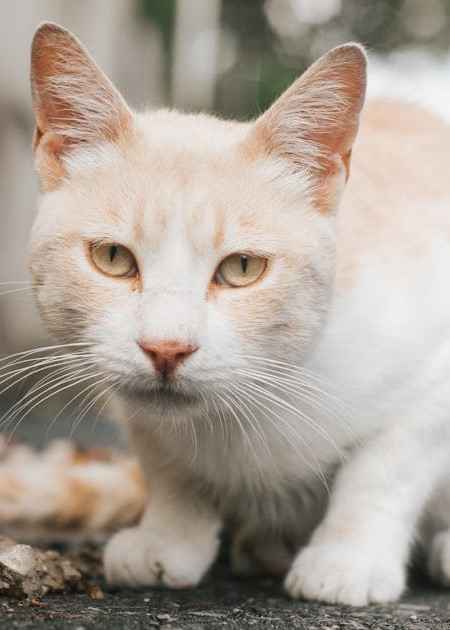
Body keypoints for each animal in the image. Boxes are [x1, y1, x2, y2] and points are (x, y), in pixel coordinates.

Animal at [28, 22, 450, 608]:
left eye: (242, 268)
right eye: (112, 257)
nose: (166, 348)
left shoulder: (433, 375)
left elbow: (384, 470)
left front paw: (348, 558)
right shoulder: (139, 410)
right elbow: (167, 463)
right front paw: (169, 535)